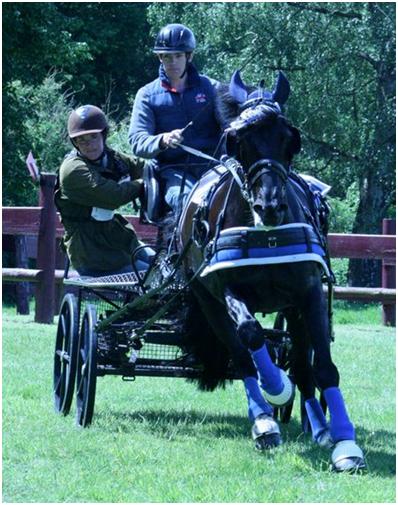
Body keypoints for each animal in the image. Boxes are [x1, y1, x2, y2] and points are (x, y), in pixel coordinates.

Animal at [176, 69, 366, 470]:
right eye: (239, 140)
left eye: (289, 140)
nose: (270, 206)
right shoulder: (225, 290)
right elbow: (251, 335)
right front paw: (275, 389)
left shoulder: (307, 293)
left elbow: (323, 367)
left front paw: (345, 442)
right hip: (208, 302)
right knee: (242, 354)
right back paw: (264, 418)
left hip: (292, 309)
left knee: (303, 362)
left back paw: (319, 426)